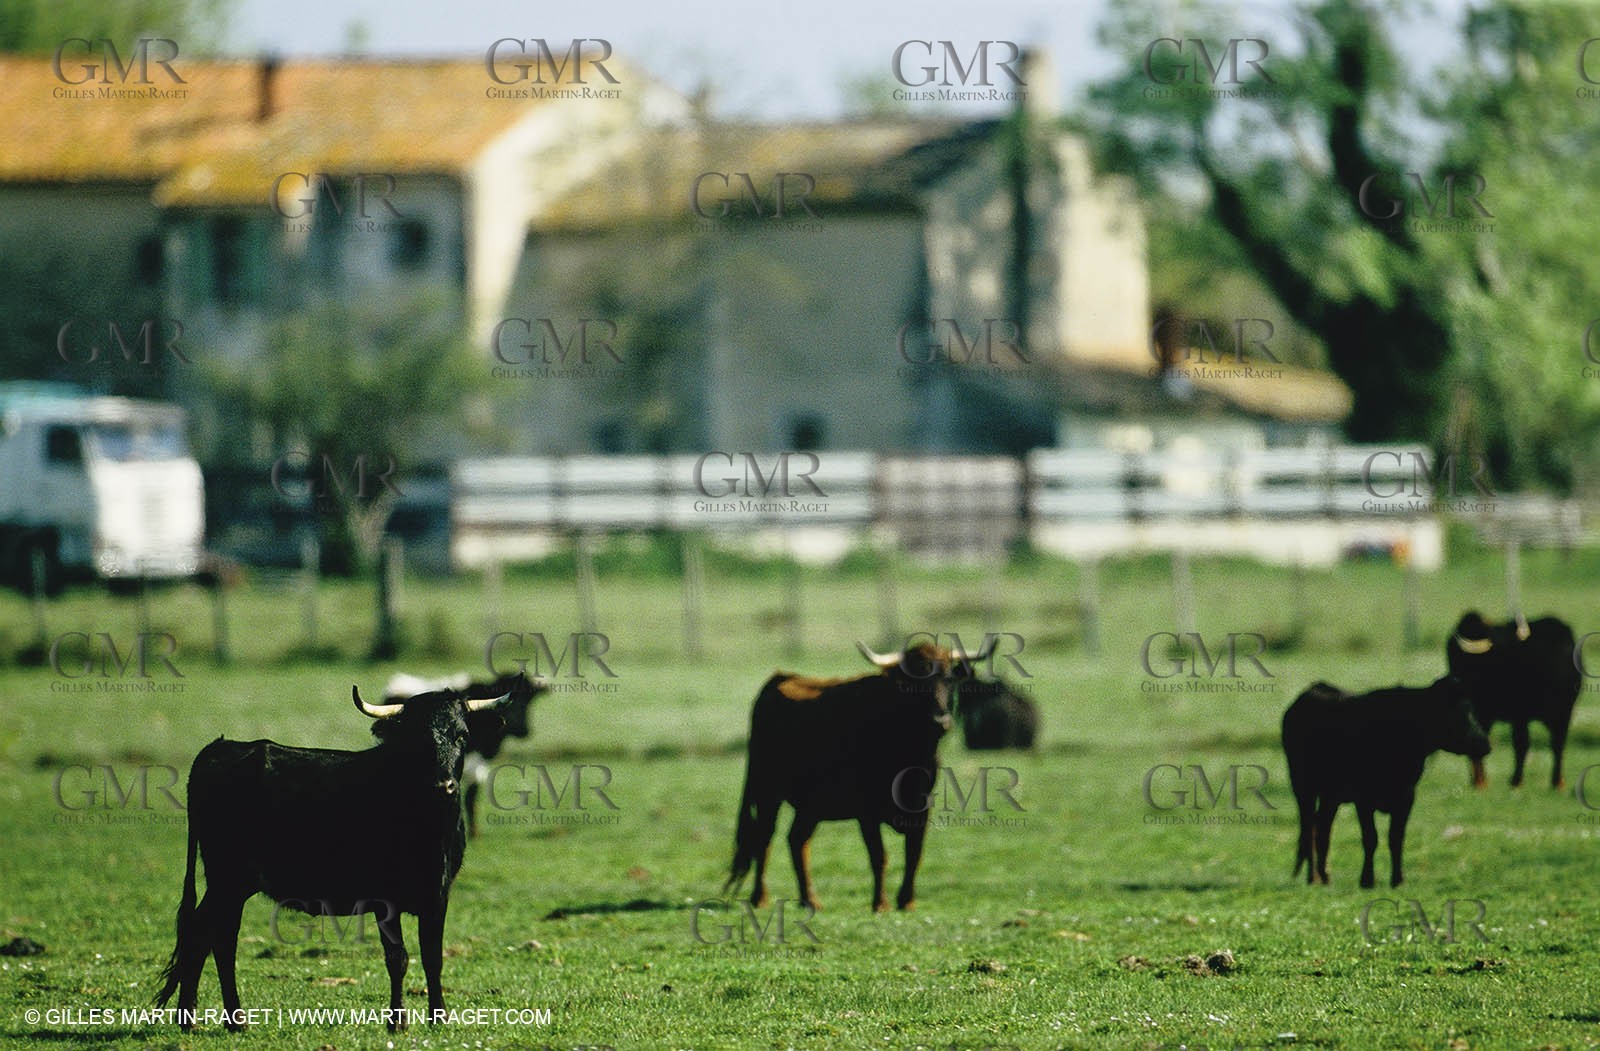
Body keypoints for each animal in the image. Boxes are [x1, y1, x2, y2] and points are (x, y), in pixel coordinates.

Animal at [153, 683, 512, 1032]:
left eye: (461, 735)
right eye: (415, 739)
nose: (443, 785)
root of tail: (220, 747)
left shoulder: (438, 895)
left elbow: (432, 958)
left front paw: (438, 1018)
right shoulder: (385, 899)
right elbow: (397, 958)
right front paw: (397, 1022)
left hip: (233, 884)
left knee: (205, 934)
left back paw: (193, 1018)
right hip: (227, 879)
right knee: (215, 938)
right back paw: (228, 1020)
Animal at [724, 637, 993, 913]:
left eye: (949, 679)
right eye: (913, 682)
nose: (940, 721)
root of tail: (781, 678)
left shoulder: (922, 808)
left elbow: (914, 854)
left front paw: (907, 901)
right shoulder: (867, 812)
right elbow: (879, 856)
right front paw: (881, 903)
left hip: (811, 805)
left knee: (797, 839)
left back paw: (810, 900)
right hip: (767, 791)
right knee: (764, 838)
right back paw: (760, 897)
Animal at [1282, 676, 1490, 888]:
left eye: (1473, 711)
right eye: (1458, 713)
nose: (1484, 744)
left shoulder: (1407, 796)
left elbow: (1396, 837)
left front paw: (1398, 879)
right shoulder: (1363, 798)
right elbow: (1370, 838)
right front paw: (1367, 880)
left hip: (1330, 795)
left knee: (1323, 827)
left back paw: (1324, 876)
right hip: (1302, 787)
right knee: (1309, 828)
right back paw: (1313, 877)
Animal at [1446, 611, 1581, 789]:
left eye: (1463, 659)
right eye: (1451, 657)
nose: (1453, 681)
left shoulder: (1562, 713)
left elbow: (1555, 745)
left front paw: (1557, 782)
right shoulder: (1514, 715)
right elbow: (1520, 744)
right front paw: (1515, 781)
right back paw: (1479, 781)